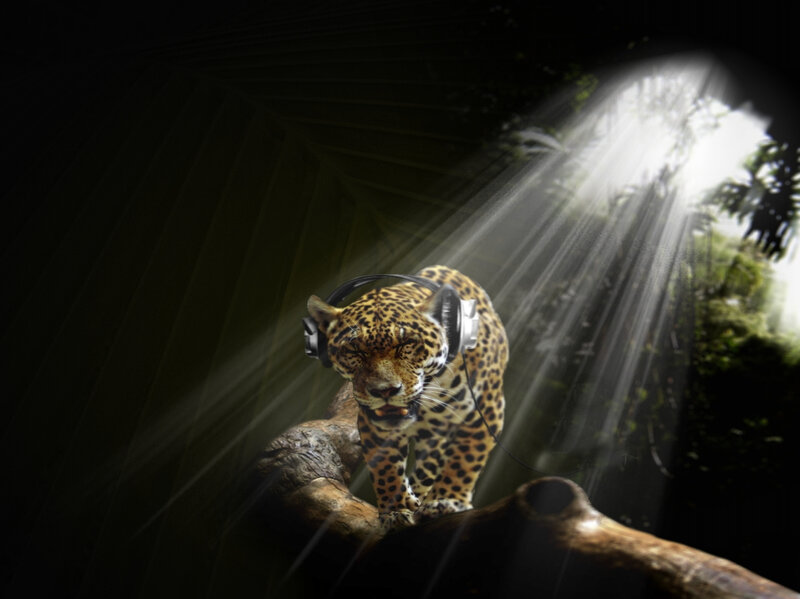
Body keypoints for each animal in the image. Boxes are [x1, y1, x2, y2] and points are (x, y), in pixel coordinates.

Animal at [306, 265, 508, 530]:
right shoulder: (373, 423)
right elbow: (385, 468)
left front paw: (445, 500)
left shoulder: (487, 409)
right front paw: (396, 509)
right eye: (354, 350)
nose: (384, 390)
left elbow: (464, 457)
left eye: (407, 344)